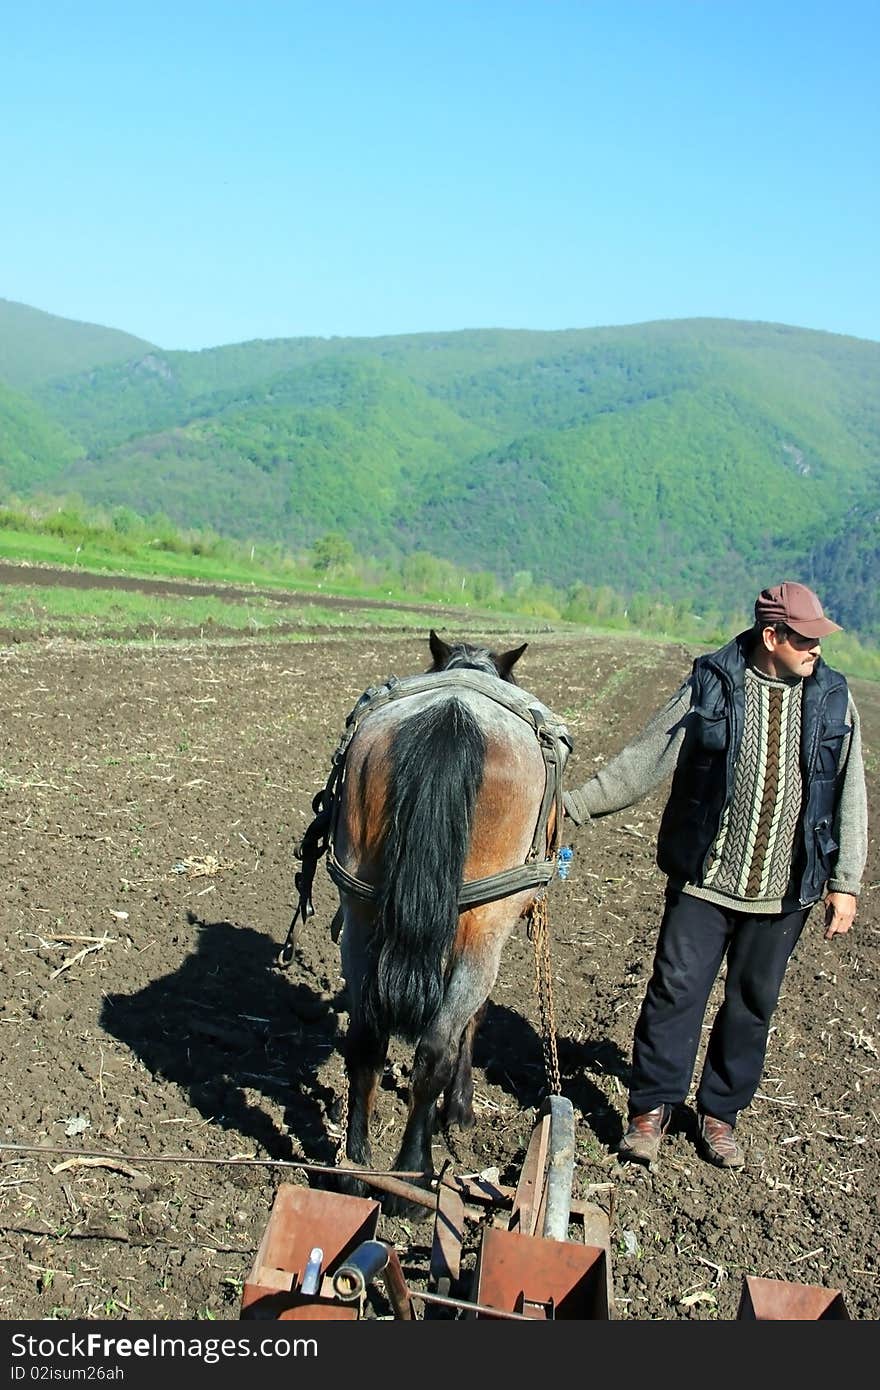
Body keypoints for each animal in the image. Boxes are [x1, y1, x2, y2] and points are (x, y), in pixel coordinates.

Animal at [322, 631, 569, 1217]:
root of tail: (452, 717)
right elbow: (471, 1022)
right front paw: (459, 1110)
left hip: (361, 912)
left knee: (366, 1042)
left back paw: (356, 1173)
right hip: (485, 925)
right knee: (433, 1047)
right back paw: (414, 1175)